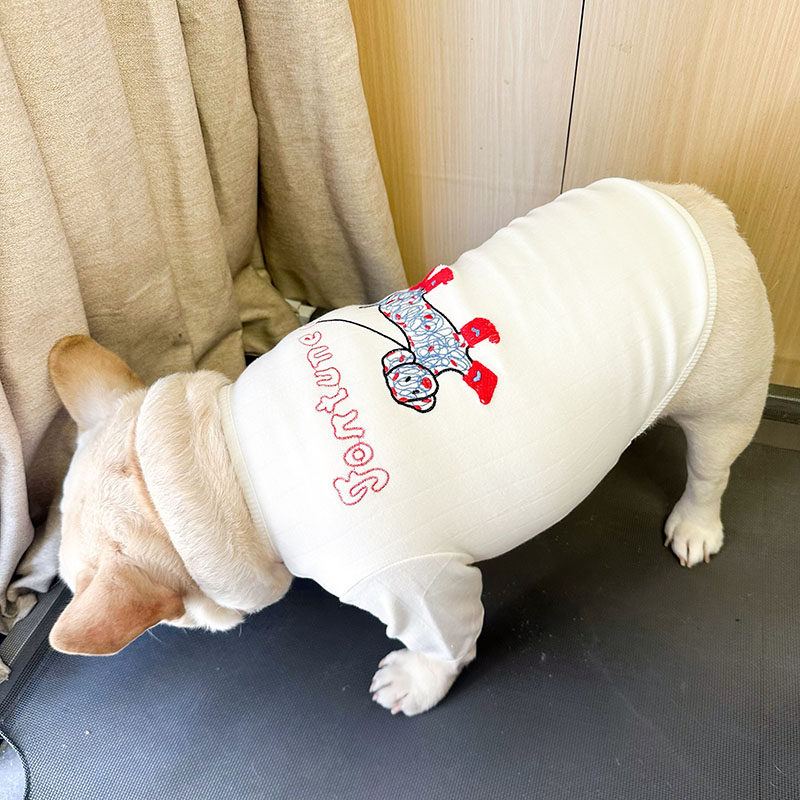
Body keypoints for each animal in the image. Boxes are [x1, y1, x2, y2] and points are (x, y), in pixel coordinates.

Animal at [46, 179, 773, 715]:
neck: (229, 461)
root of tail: (707, 209)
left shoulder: (411, 582)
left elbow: (443, 640)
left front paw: (417, 683)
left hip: (726, 395)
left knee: (711, 467)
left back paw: (696, 524)